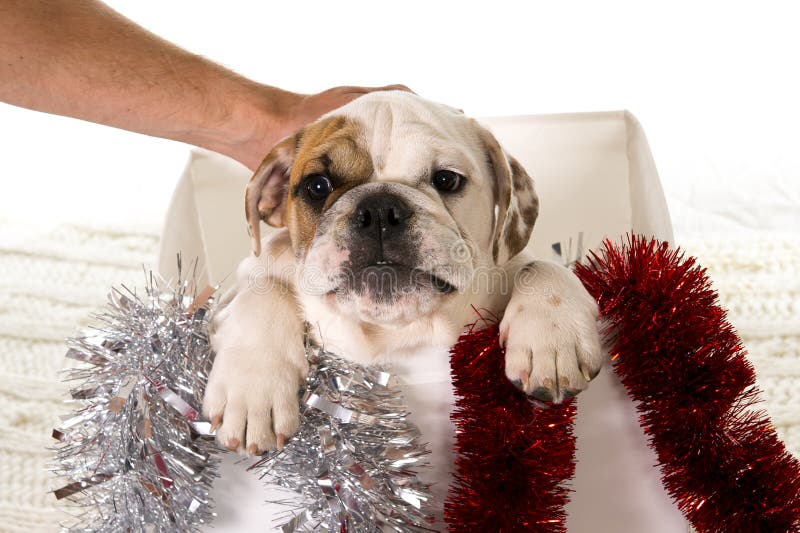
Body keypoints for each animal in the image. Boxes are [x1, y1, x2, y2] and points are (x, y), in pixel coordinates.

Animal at [203, 90, 604, 454]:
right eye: (317, 186)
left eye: (446, 180)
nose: (379, 209)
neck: (397, 333)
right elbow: (263, 291)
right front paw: (252, 388)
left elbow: (542, 267)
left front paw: (552, 341)